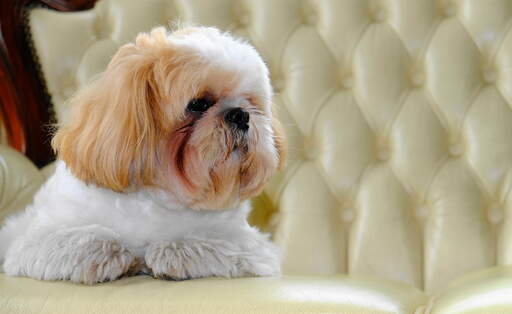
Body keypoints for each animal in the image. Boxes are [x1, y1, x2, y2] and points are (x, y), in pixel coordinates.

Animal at [0, 27, 286, 284]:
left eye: (251, 102)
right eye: (198, 104)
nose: (241, 115)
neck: (159, 196)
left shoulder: (252, 247)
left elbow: (213, 242)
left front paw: (171, 251)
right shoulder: (33, 242)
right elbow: (76, 239)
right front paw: (110, 250)